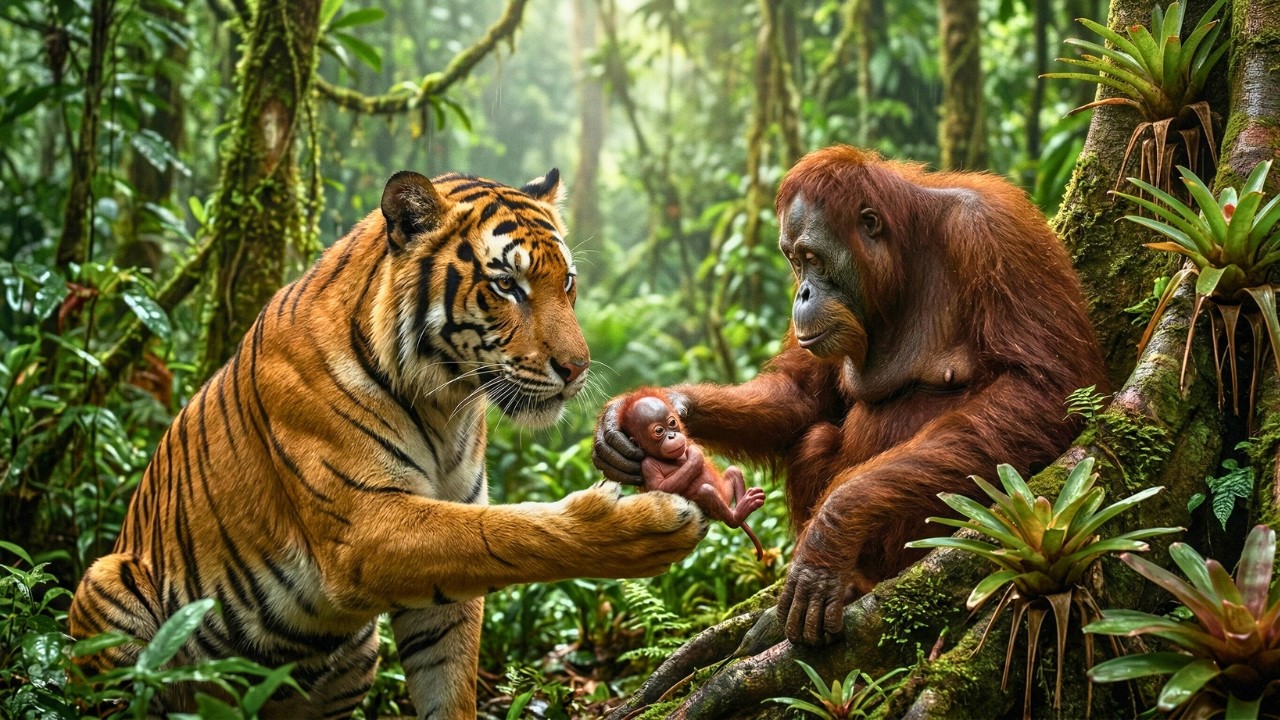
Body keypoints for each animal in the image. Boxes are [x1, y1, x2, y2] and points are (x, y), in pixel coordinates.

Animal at [68, 169, 707, 719]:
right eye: (507, 285)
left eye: (567, 281)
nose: (577, 369)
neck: (446, 403)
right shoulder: (362, 528)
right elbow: (503, 535)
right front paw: (643, 528)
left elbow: (450, 680)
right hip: (112, 590)